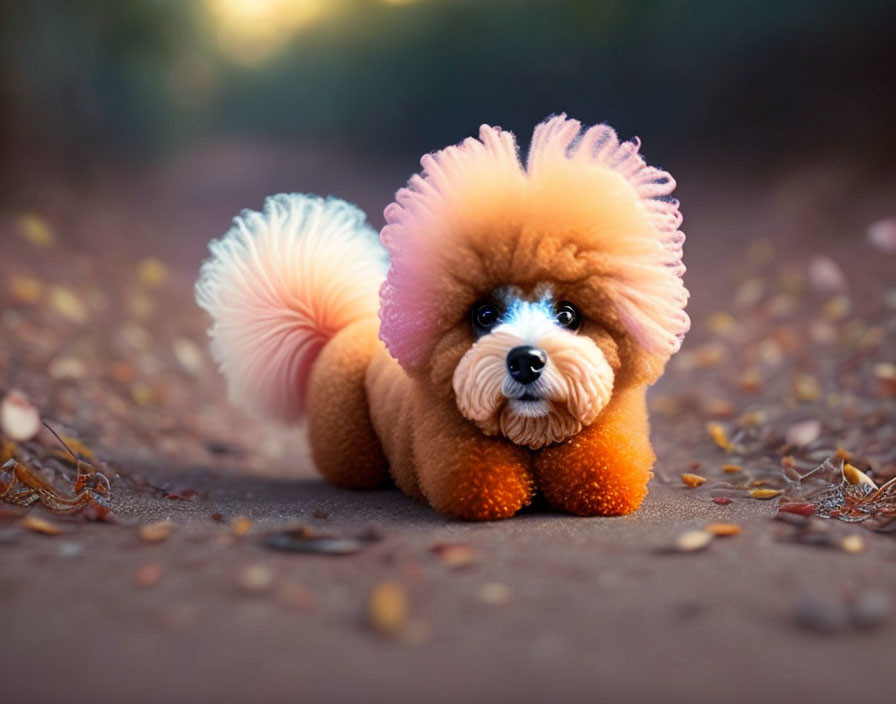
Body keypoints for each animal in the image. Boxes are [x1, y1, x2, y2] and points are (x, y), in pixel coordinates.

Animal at [194, 115, 688, 520]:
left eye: (568, 314)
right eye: (484, 314)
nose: (525, 361)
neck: (529, 434)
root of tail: (343, 325)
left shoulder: (608, 439)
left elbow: (600, 476)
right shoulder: (458, 454)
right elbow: (484, 485)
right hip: (346, 437)